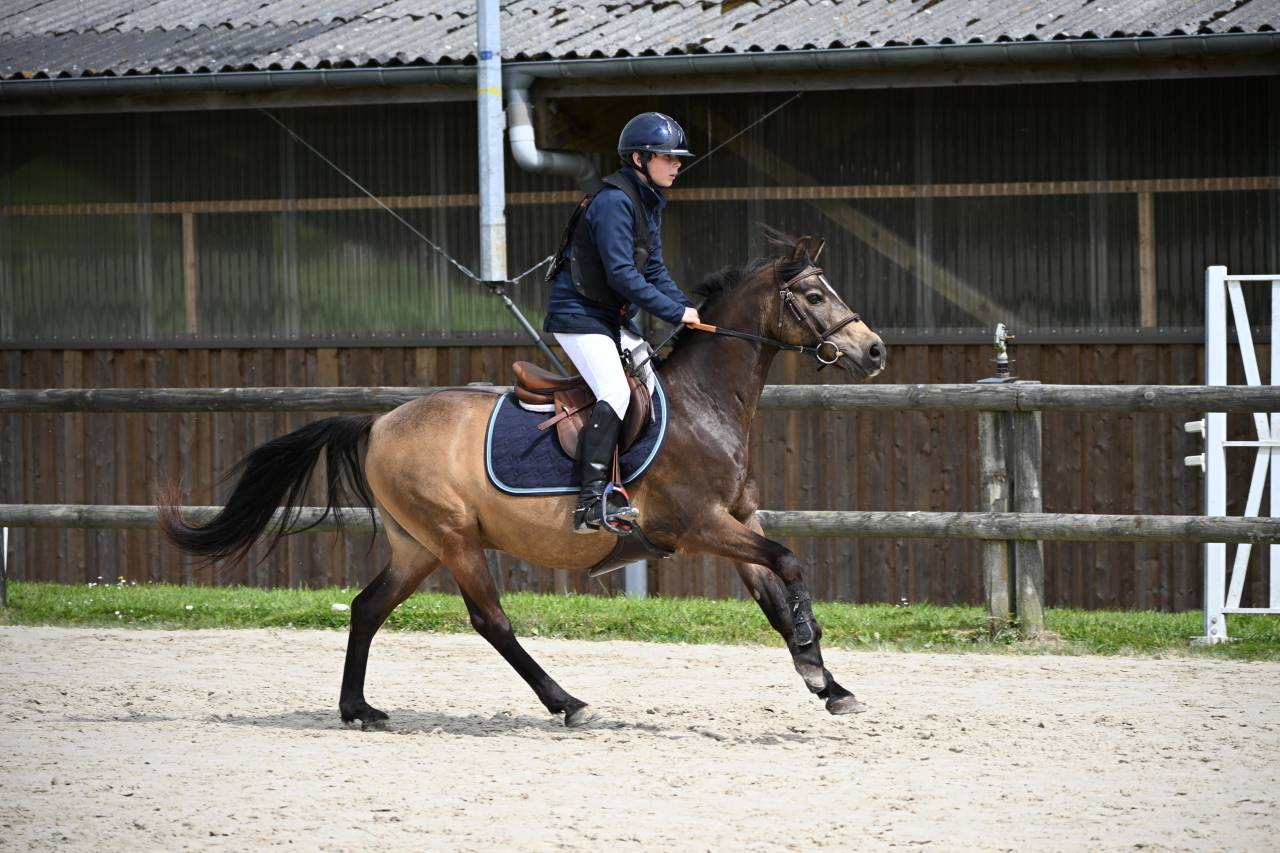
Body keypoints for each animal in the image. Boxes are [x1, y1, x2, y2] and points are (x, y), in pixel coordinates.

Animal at [159, 232, 887, 729]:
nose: (874, 350)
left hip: (417, 544)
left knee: (367, 607)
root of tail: (379, 422)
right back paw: (567, 702)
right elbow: (789, 564)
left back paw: (358, 708)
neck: (705, 403)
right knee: (491, 620)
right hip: (455, 538)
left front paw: (827, 683)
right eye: (815, 296)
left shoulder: (738, 521)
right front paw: (814, 659)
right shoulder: (699, 526)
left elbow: (774, 592)